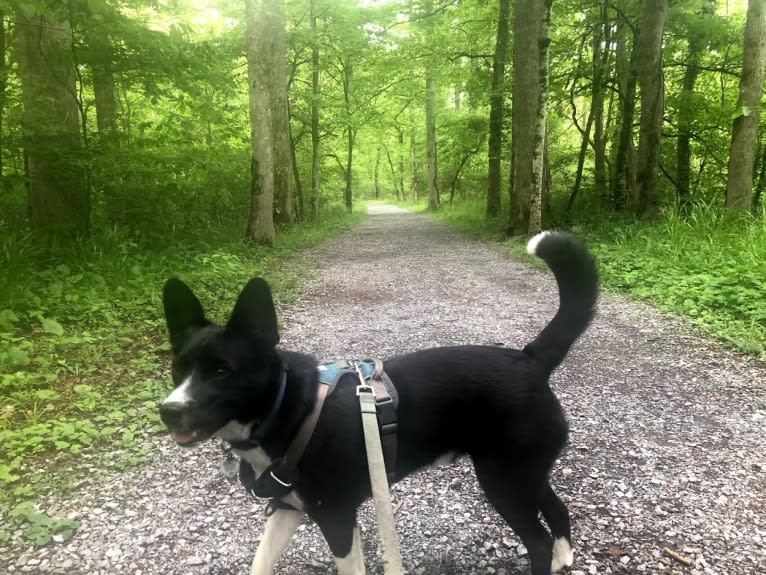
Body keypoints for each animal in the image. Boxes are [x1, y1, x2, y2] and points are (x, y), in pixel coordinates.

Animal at [159, 232, 596, 575]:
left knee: (538, 540)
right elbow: (260, 563)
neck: (290, 409)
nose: (168, 411)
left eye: (222, 371)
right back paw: (563, 558)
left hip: (504, 480)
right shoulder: (287, 510)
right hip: (525, 473)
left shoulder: (336, 518)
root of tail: (530, 359)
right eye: (178, 368)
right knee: (558, 510)